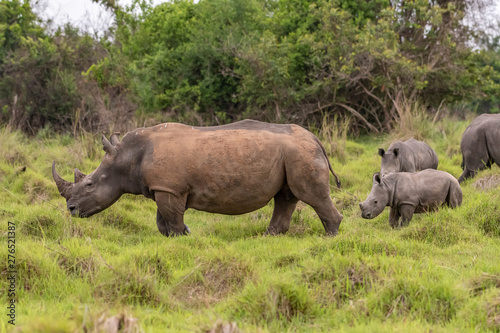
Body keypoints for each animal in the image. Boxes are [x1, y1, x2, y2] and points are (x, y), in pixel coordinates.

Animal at [53, 119, 344, 236]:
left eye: (89, 184)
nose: (71, 209)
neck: (127, 156)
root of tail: (315, 139)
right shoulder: (164, 187)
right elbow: (162, 220)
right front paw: (181, 234)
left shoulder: (168, 188)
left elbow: (171, 218)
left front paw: (183, 235)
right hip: (292, 154)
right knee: (285, 197)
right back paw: (269, 237)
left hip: (301, 154)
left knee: (312, 196)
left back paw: (329, 237)